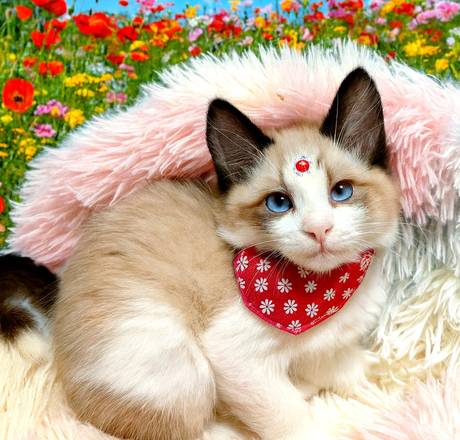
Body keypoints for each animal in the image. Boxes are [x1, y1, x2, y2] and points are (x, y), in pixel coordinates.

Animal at [52, 67, 400, 440]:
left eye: (341, 192)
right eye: (279, 203)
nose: (318, 229)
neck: (321, 293)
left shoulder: (326, 344)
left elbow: (340, 365)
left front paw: (378, 373)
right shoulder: (236, 357)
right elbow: (290, 418)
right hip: (176, 359)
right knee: (185, 427)